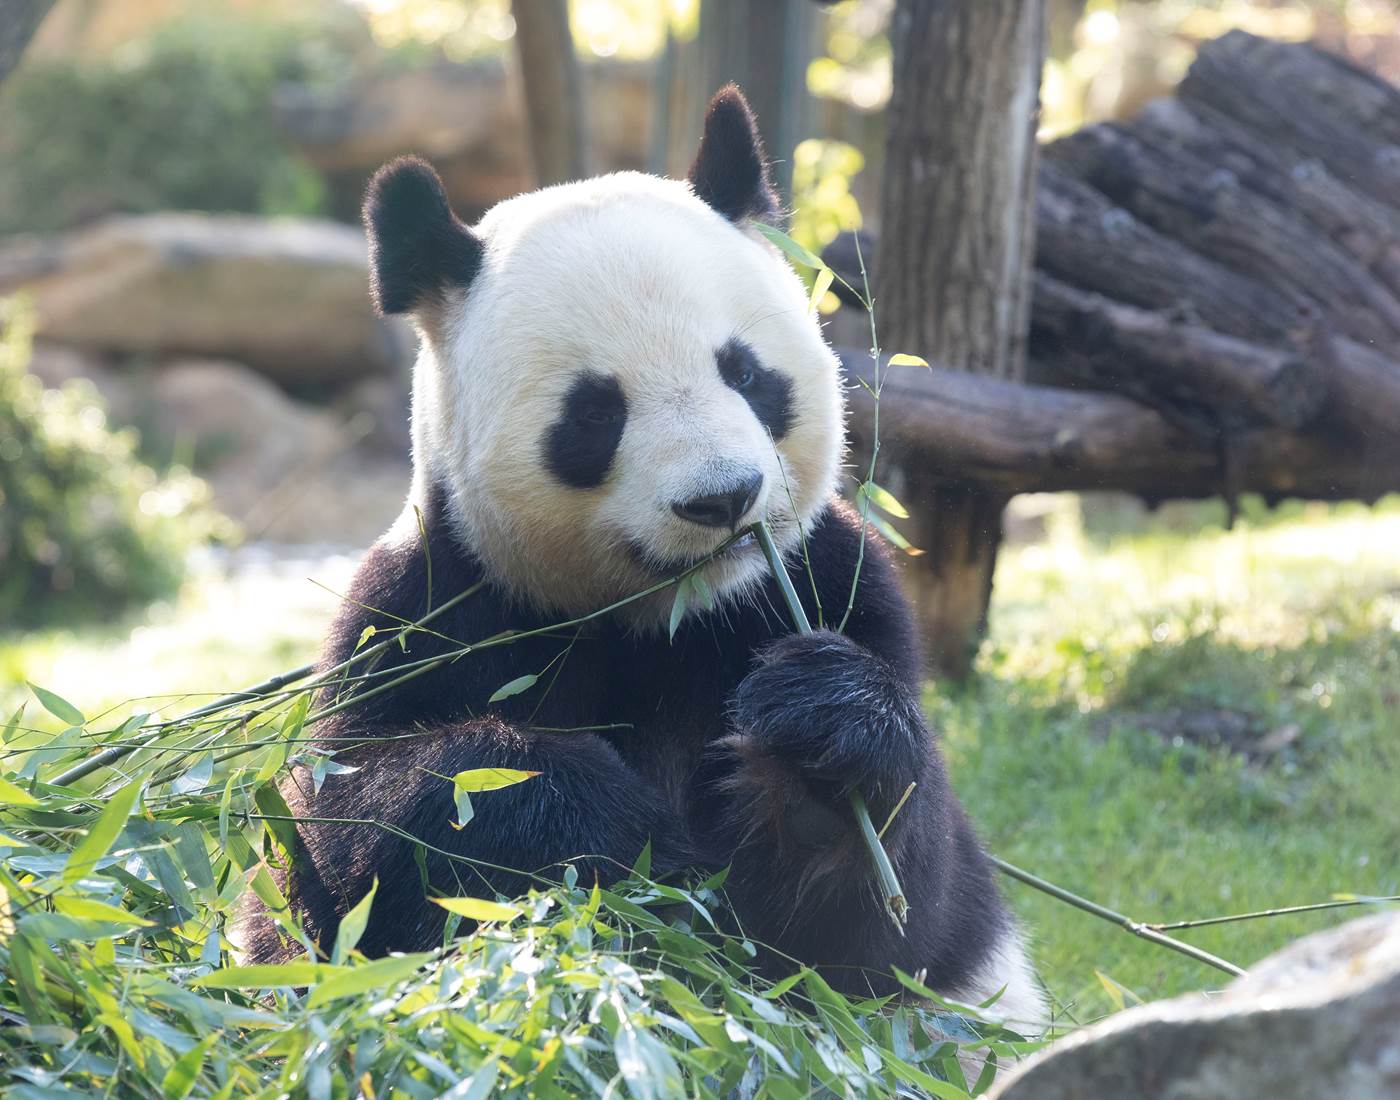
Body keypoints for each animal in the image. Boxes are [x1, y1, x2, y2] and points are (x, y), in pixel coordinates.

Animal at [243, 85, 1046, 1030]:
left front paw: (819, 749)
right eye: (595, 412)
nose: (723, 498)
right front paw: (599, 820)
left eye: (746, 373)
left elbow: (896, 923)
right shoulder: (422, 612)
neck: (662, 620)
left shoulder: (836, 581)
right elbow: (342, 841)